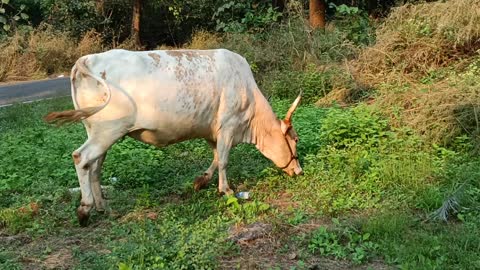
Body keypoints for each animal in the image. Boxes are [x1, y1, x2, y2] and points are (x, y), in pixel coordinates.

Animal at [47, 49, 306, 226]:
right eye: (295, 140)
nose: (299, 171)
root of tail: (87, 59)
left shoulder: (213, 131)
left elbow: (215, 158)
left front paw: (201, 181)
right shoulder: (228, 126)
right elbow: (223, 160)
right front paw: (227, 190)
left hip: (99, 132)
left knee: (95, 167)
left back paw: (103, 207)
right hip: (108, 130)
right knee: (81, 158)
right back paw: (84, 209)